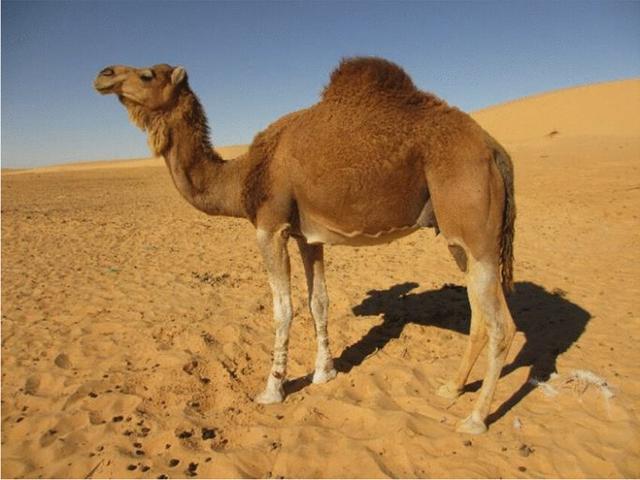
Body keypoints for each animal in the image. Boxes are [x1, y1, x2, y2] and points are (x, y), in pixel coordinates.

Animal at [94, 57, 516, 434]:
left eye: (147, 74)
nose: (104, 74)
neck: (243, 175)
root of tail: (496, 150)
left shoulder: (270, 227)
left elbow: (283, 309)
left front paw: (272, 390)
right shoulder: (307, 237)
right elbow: (319, 302)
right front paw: (324, 373)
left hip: (473, 225)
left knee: (502, 326)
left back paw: (475, 419)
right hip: (459, 241)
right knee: (479, 315)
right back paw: (451, 388)